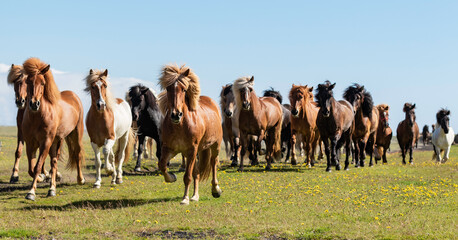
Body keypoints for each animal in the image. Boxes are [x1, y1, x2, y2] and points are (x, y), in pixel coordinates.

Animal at [22, 57, 85, 200]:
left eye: (42, 83)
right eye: (28, 82)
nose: (34, 104)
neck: (37, 118)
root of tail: (74, 96)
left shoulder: (46, 142)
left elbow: (38, 166)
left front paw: (31, 192)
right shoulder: (30, 143)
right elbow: (31, 168)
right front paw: (40, 179)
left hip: (75, 134)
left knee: (76, 154)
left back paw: (79, 180)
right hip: (56, 141)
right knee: (54, 162)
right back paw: (52, 188)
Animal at [157, 64, 223, 205]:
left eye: (183, 89)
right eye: (168, 88)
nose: (176, 115)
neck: (180, 126)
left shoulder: (192, 149)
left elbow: (187, 176)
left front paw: (185, 198)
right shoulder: (170, 148)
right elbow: (162, 165)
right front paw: (171, 177)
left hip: (215, 146)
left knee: (213, 164)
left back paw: (216, 190)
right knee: (197, 172)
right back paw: (195, 196)